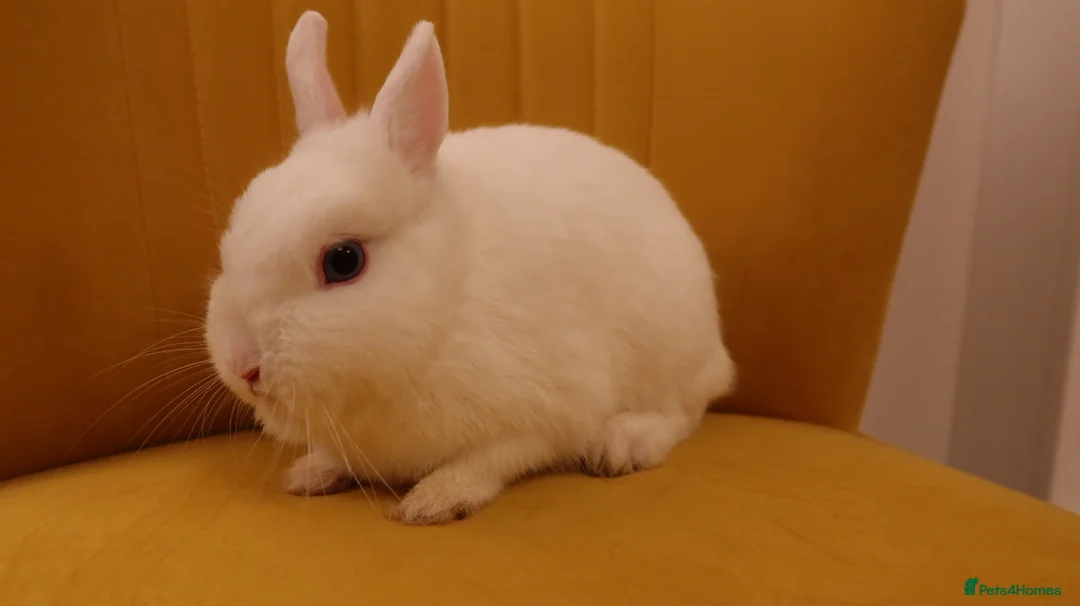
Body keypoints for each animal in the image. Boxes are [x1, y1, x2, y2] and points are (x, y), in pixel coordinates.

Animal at [203, 11, 736, 525]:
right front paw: (311, 473)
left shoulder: (545, 410)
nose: (243, 366)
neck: (447, 303)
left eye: (343, 260)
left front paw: (433, 500)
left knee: (682, 412)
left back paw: (622, 443)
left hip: (667, 349)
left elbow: (491, 458)